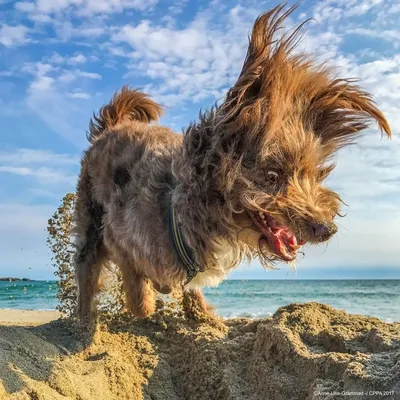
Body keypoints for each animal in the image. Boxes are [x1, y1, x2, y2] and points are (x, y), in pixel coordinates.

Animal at [72, 3, 390, 322]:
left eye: (312, 175)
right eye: (272, 175)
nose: (327, 229)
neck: (182, 203)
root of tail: (113, 126)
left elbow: (187, 287)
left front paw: (203, 315)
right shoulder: (118, 237)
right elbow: (139, 296)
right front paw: (148, 305)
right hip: (91, 225)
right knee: (87, 271)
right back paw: (85, 320)